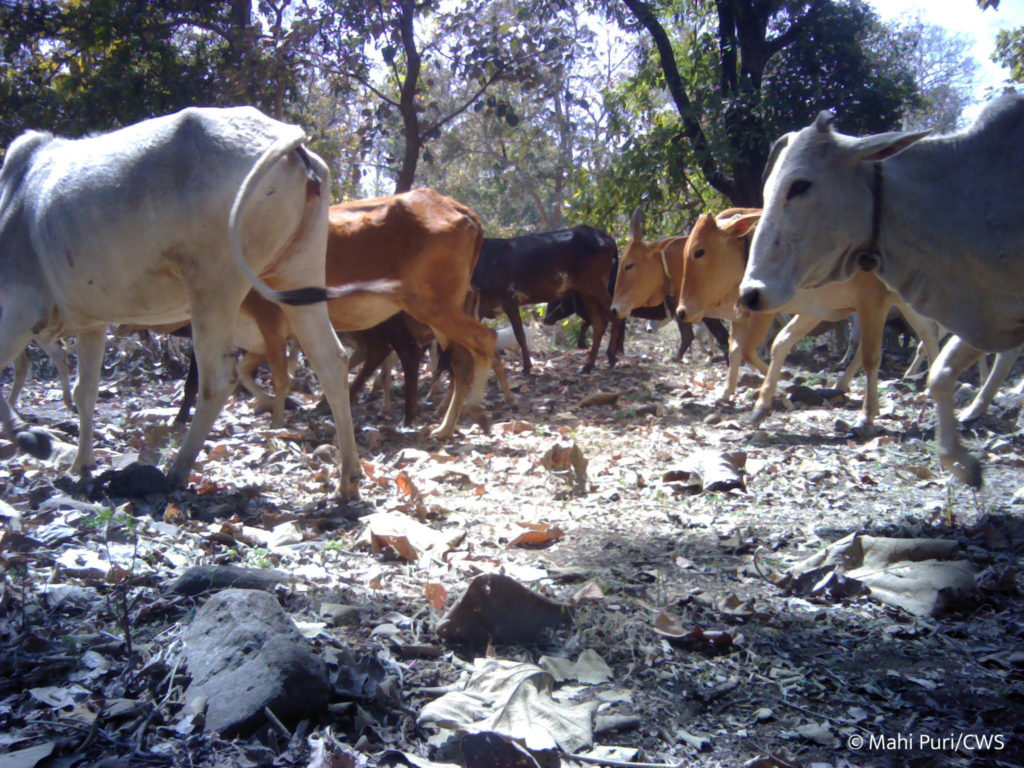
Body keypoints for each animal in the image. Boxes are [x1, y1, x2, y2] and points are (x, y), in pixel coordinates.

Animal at [0, 106, 364, 499]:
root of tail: (288, 140)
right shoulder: (91, 325)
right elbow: (87, 392)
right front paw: (81, 463)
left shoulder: (18, 311)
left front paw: (31, 438)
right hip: (299, 276)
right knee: (331, 361)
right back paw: (349, 478)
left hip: (214, 285)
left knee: (218, 377)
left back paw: (177, 469)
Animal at [229, 188, 497, 438]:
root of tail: (461, 210)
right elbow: (241, 372)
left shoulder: (269, 320)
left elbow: (278, 378)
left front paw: (277, 422)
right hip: (437, 314)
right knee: (461, 361)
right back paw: (444, 428)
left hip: (434, 307)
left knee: (484, 340)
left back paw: (474, 411)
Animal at [473, 226, 616, 374]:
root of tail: (609, 240)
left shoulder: (509, 299)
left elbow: (520, 334)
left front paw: (527, 367)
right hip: (586, 292)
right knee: (599, 323)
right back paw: (588, 366)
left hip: (595, 285)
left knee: (615, 313)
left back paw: (611, 357)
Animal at [677, 209, 940, 428]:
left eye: (699, 251)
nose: (682, 311)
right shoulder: (814, 309)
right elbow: (776, 344)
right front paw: (761, 401)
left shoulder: (871, 301)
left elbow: (871, 357)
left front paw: (866, 416)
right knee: (927, 333)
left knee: (921, 336)